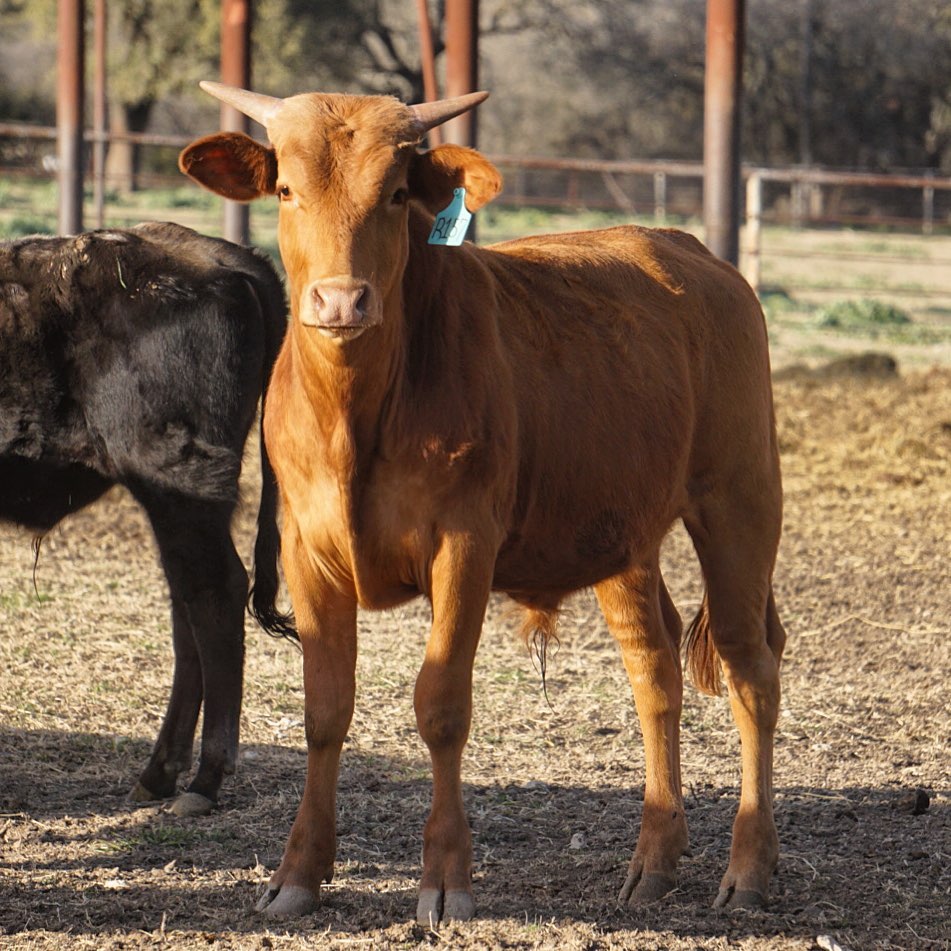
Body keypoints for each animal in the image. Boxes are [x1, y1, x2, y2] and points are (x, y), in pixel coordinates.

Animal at [0, 221, 294, 817]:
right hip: (178, 505)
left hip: (179, 484)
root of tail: (227, 258)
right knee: (189, 606)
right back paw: (160, 775)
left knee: (214, 595)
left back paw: (203, 780)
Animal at [179, 84, 787, 922]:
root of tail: (691, 253)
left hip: (739, 497)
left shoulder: (462, 544)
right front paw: (298, 872)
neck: (357, 413)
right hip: (621, 535)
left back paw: (749, 869)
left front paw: (444, 878)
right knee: (654, 670)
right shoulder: (307, 550)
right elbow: (324, 710)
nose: (340, 300)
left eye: (396, 193)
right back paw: (653, 859)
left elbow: (440, 705)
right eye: (286, 190)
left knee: (748, 668)